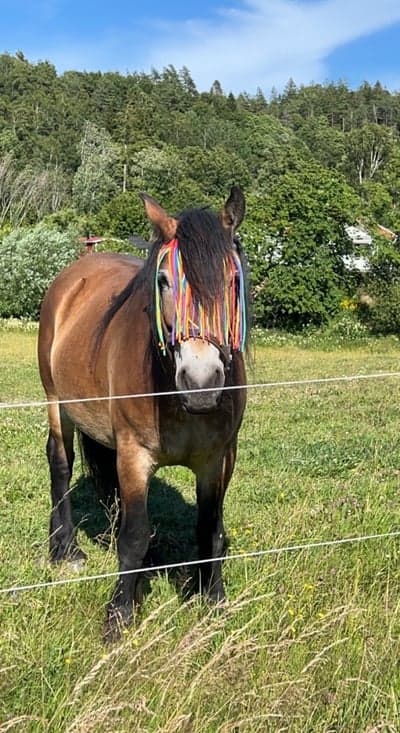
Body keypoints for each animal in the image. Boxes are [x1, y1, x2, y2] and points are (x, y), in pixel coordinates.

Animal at [38, 186, 249, 640]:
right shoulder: (134, 456)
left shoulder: (219, 460)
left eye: (233, 279)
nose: (201, 381)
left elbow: (211, 530)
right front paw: (119, 616)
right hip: (56, 403)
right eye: (164, 280)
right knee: (60, 464)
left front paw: (214, 601)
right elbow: (134, 537)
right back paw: (64, 549)